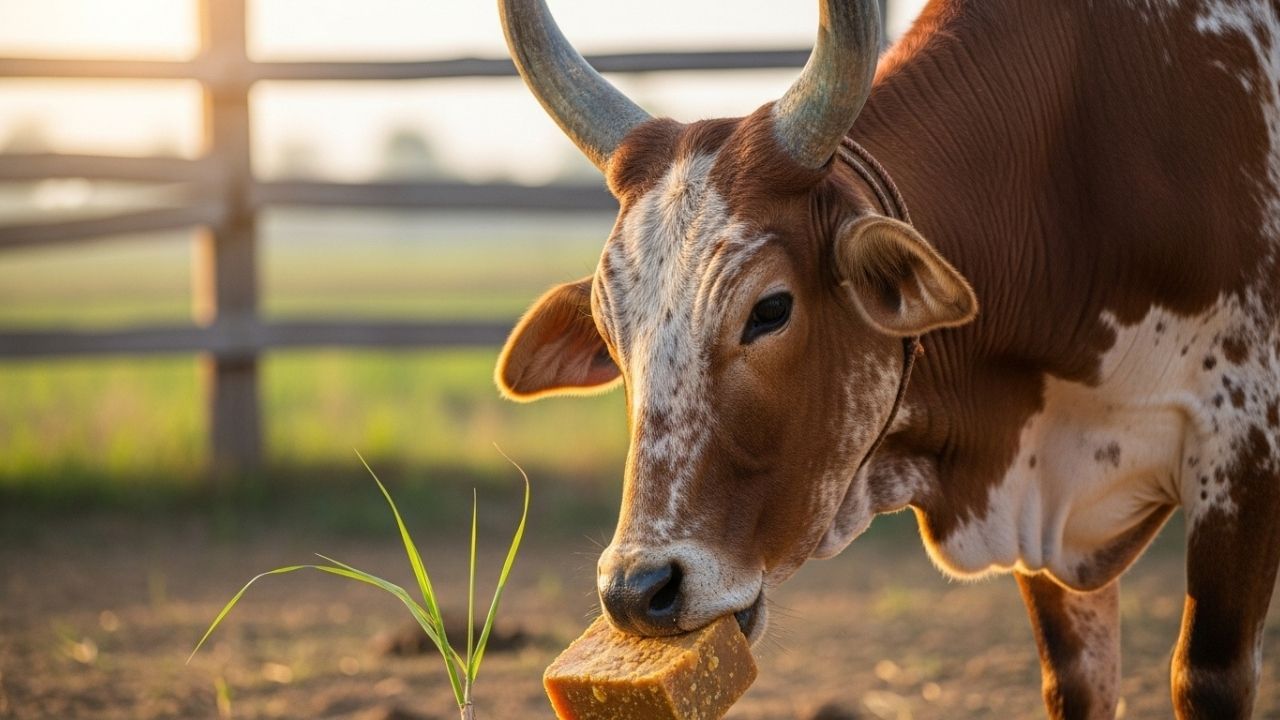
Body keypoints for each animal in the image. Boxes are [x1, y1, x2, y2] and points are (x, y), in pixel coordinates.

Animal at [492, 0, 1280, 717]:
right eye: (608, 330)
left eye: (770, 310)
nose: (636, 592)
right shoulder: (1040, 490)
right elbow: (1077, 683)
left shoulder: (1243, 455)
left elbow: (1206, 679)